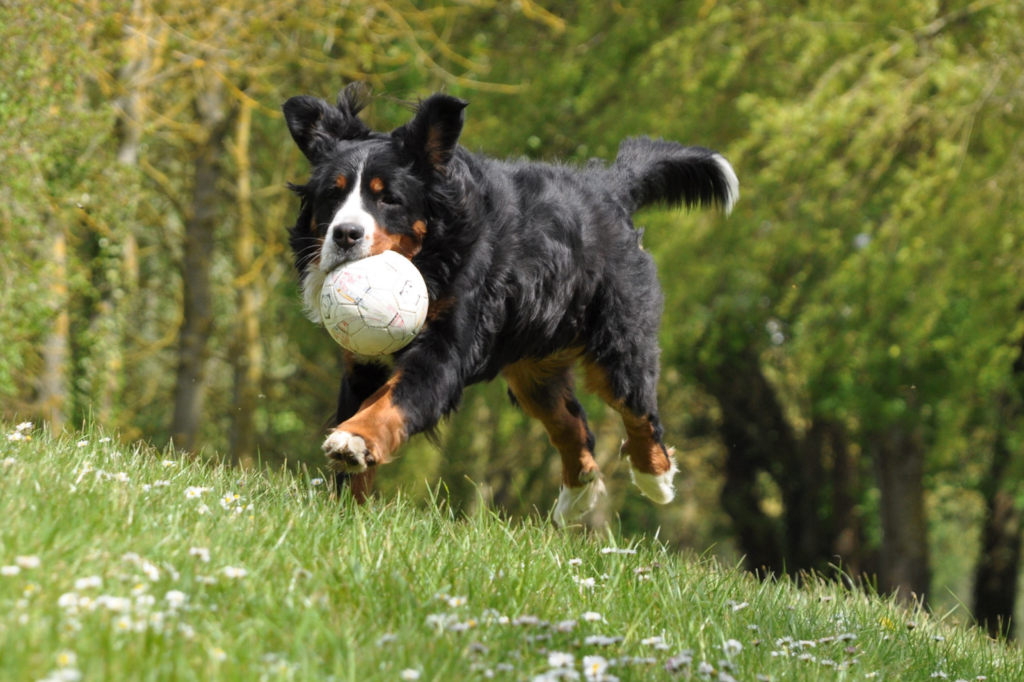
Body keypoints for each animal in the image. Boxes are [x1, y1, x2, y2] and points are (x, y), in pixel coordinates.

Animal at [284, 82, 741, 522]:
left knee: (639, 411)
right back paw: (577, 496)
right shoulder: (363, 361)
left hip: (619, 342)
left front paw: (354, 440)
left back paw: (655, 478)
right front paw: (348, 509)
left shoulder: (443, 351)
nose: (345, 234)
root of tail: (607, 188)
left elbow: (390, 402)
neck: (432, 256)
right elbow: (362, 413)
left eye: (388, 198)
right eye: (332, 195)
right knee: (572, 425)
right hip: (533, 367)